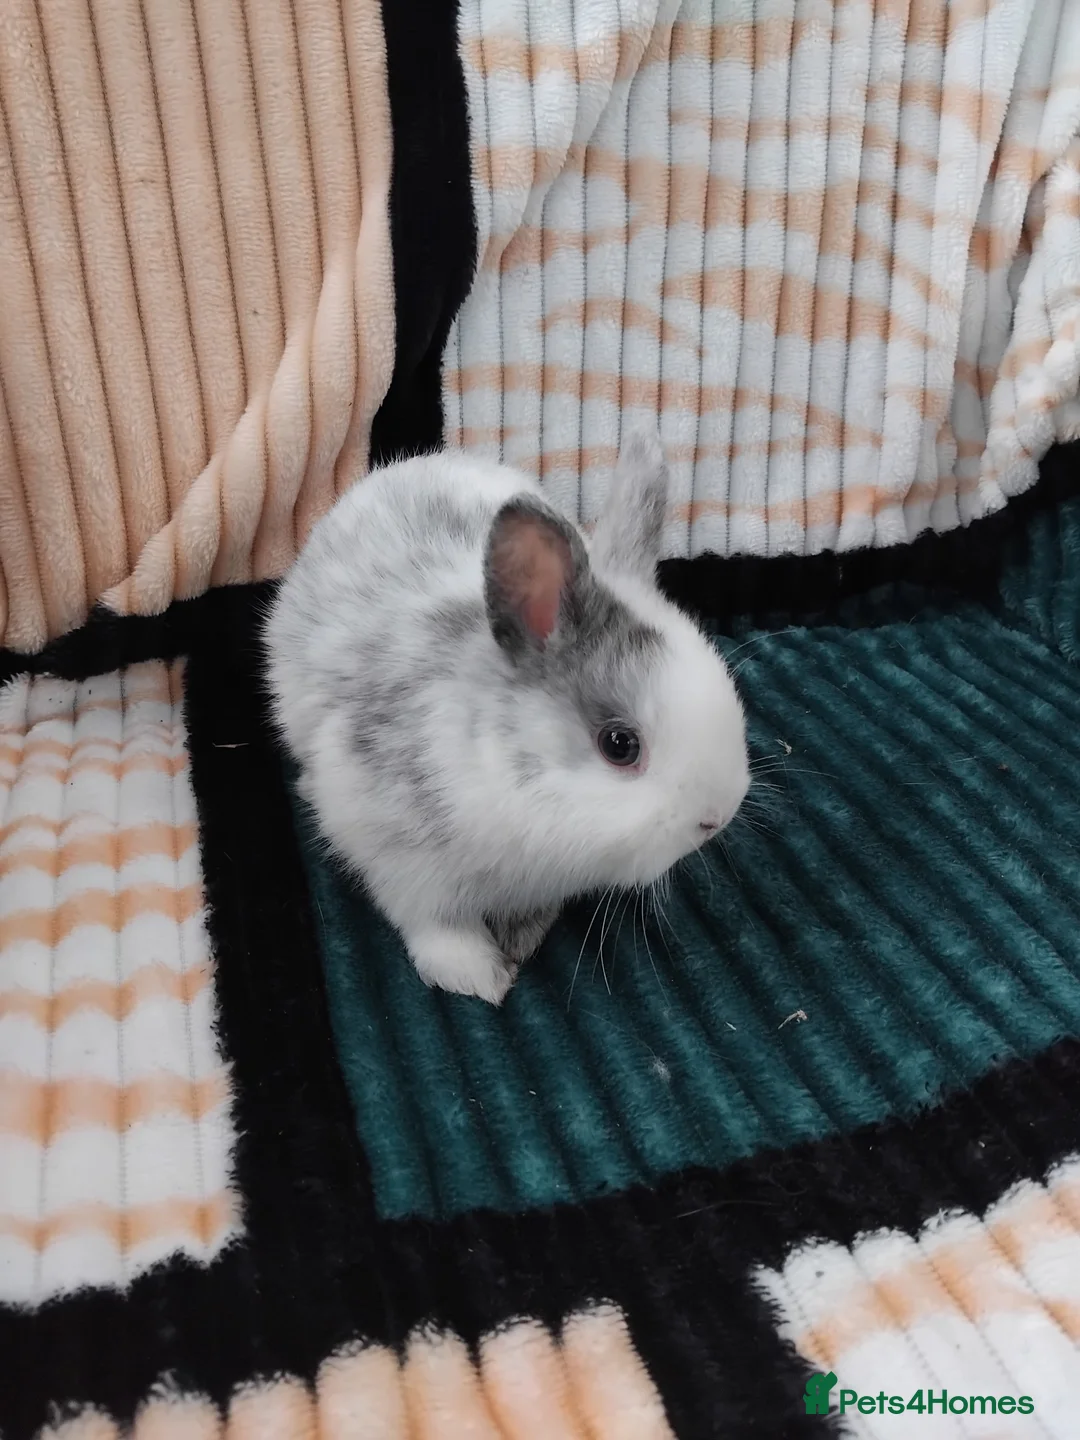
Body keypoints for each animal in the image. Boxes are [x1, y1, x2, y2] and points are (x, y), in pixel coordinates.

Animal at [264, 431, 750, 1005]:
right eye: (619, 745)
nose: (716, 817)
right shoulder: (391, 851)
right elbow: (433, 922)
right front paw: (478, 977)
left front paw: (521, 937)